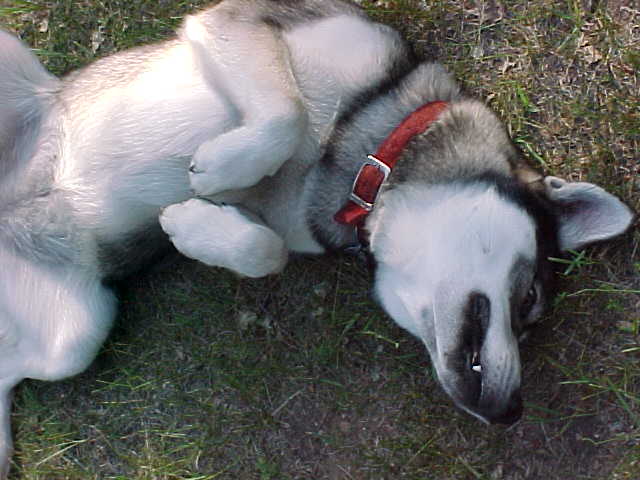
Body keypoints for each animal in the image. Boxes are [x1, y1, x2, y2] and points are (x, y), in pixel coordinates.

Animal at [0, 0, 634, 475]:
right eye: (530, 301)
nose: (512, 411)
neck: (366, 164)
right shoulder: (232, 20)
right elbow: (287, 114)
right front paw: (221, 167)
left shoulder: (283, 224)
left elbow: (265, 250)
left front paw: (191, 225)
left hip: (78, 333)